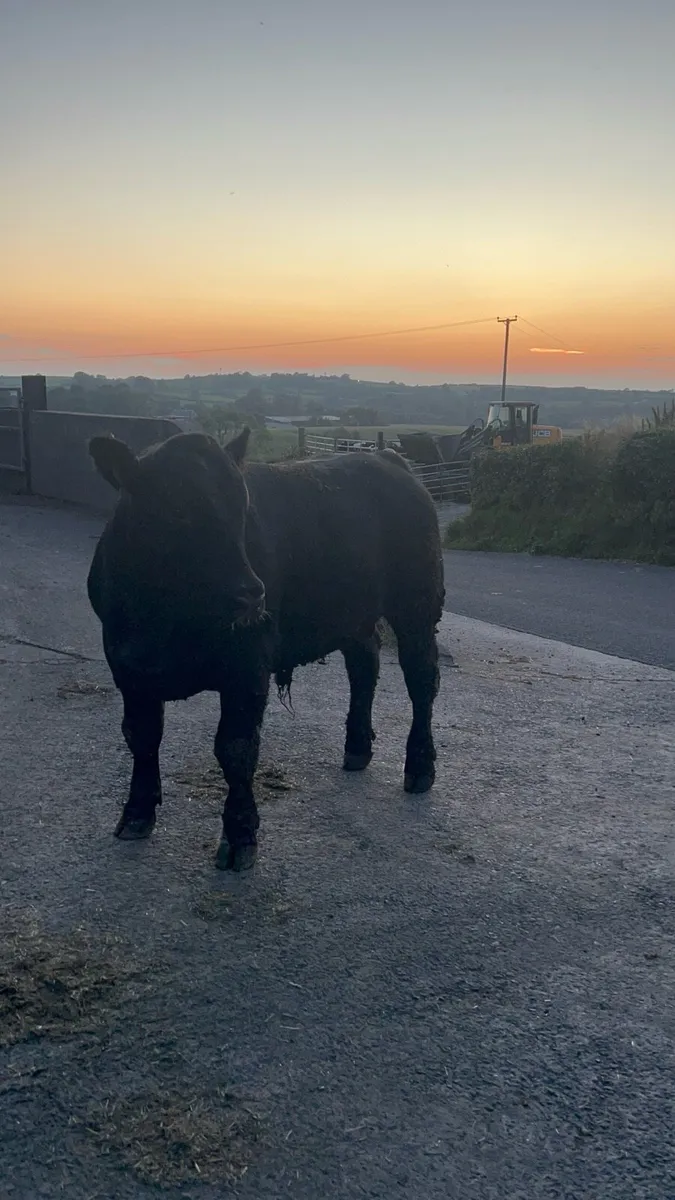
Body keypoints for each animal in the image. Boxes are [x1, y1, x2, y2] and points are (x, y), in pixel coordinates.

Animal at [87, 429, 444, 871]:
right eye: (176, 510)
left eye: (242, 508)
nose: (250, 593)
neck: (162, 618)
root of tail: (387, 458)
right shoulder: (128, 668)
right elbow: (141, 737)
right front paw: (136, 813)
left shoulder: (248, 668)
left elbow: (236, 750)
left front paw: (240, 836)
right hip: (353, 613)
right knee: (365, 666)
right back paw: (358, 748)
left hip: (418, 603)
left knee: (421, 679)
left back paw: (420, 767)